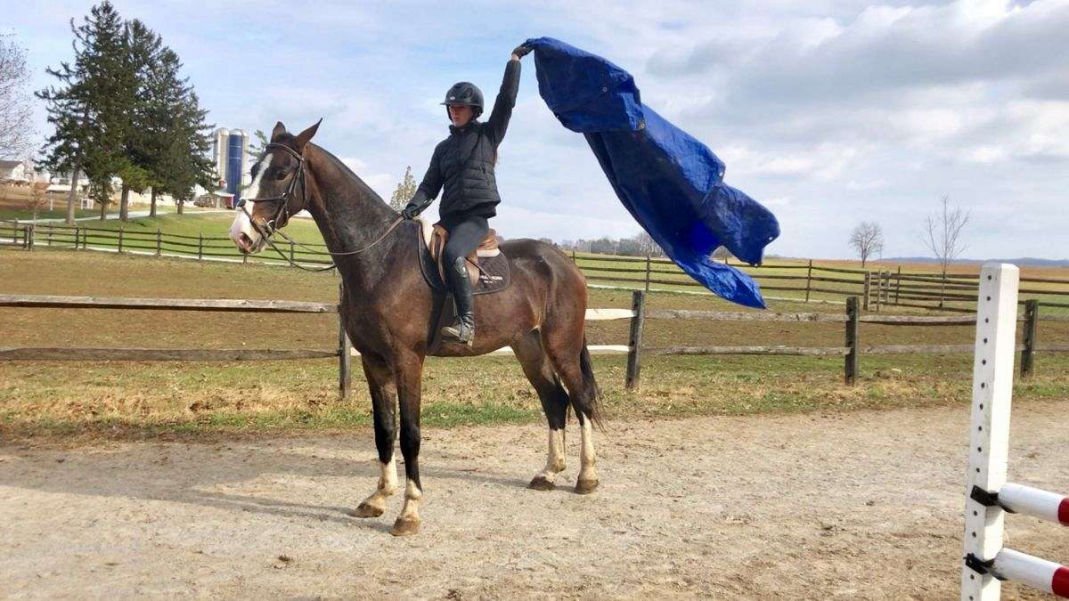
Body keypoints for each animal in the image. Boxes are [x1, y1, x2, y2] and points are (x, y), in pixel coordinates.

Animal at [229, 121, 603, 536]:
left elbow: (410, 435)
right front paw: (377, 498)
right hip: (529, 348)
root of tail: (564, 263)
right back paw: (549, 473)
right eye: (252, 170)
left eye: (280, 173)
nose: (241, 233)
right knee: (555, 401)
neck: (381, 256)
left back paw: (586, 477)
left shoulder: (408, 360)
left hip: (561, 345)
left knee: (582, 399)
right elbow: (384, 430)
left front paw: (409, 511)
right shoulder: (373, 361)